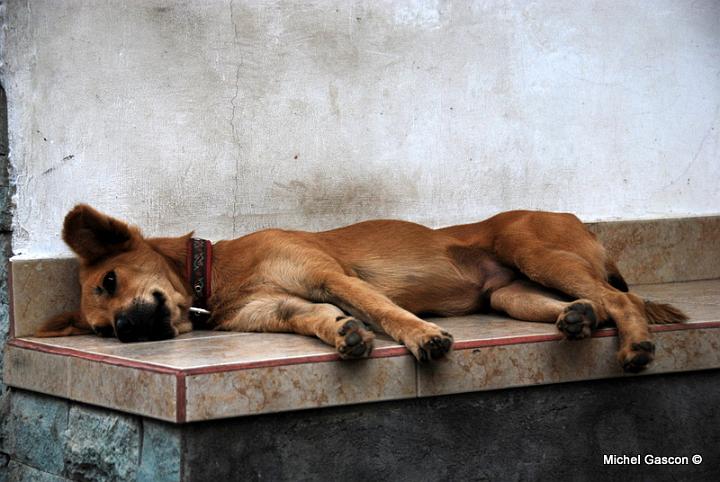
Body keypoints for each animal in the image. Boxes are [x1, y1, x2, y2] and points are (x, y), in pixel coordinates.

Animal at [38, 205, 688, 370]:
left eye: (113, 279)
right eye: (101, 332)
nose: (125, 331)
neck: (217, 276)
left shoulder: (332, 276)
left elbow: (385, 310)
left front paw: (422, 338)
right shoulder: (280, 308)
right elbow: (316, 319)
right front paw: (343, 333)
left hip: (529, 249)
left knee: (623, 298)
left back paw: (635, 343)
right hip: (508, 293)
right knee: (589, 304)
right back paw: (576, 319)